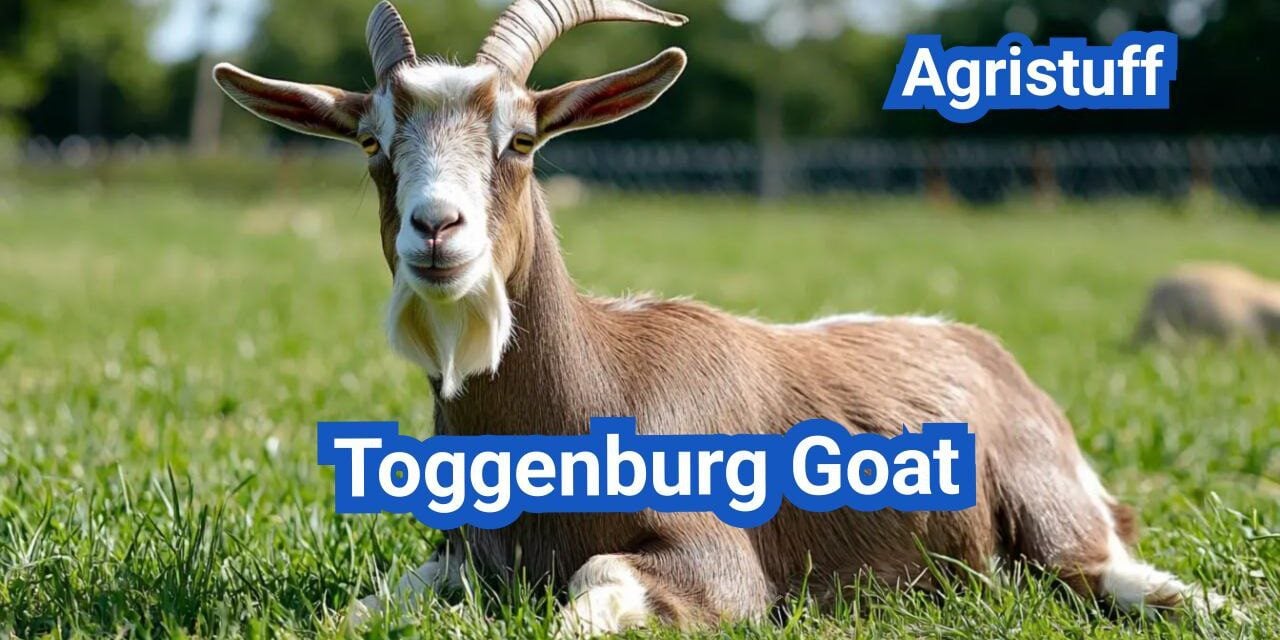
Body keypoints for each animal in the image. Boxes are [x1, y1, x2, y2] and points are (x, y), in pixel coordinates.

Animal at [213, 1, 1235, 634]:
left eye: (523, 139)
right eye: (372, 145)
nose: (438, 229)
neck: (591, 393)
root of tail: (981, 347)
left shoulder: (719, 564)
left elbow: (595, 586)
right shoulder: (462, 559)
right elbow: (362, 607)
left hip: (1055, 513)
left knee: (1111, 573)